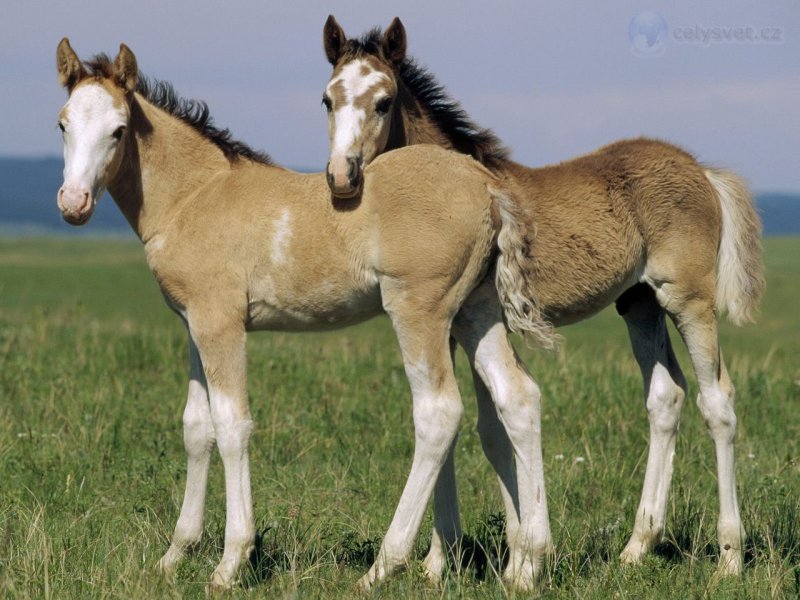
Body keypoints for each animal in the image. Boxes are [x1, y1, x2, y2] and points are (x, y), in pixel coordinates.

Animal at [56, 41, 552, 592]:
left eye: (119, 130)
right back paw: (527, 564)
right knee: (518, 397)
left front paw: (229, 564)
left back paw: (384, 566)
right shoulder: (193, 324)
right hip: (476, 310)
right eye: (63, 124)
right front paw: (174, 556)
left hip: (420, 309)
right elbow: (196, 428)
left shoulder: (220, 322)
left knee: (439, 413)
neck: (194, 196)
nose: (73, 203)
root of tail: (487, 186)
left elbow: (232, 425)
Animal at [322, 14, 764, 584]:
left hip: (686, 298)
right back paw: (636, 547)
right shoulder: (457, 325)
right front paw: (444, 562)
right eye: (328, 99)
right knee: (666, 397)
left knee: (718, 401)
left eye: (383, 101)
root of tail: (701, 169)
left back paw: (729, 557)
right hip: (638, 304)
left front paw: (508, 559)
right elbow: (481, 429)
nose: (342, 177)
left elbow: (487, 420)